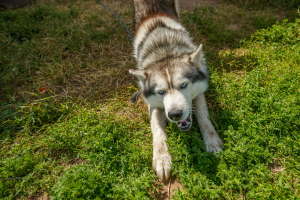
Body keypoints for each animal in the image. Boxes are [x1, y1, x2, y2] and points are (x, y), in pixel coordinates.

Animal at [129, 0, 223, 181]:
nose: (175, 114)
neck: (165, 53)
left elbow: (203, 116)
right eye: (161, 92)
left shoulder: (199, 92)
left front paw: (212, 140)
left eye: (184, 85)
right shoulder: (154, 105)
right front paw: (161, 159)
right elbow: (157, 131)